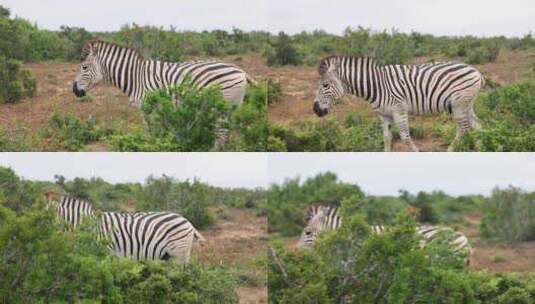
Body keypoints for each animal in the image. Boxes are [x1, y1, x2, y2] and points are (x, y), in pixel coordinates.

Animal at [72, 40, 256, 150]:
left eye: (84, 67)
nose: (74, 90)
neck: (136, 77)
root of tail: (241, 70)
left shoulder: (148, 107)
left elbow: (151, 132)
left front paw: (152, 146)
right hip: (231, 107)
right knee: (227, 134)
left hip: (223, 106)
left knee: (222, 134)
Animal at [314, 55, 486, 151]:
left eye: (325, 85)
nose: (316, 110)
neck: (377, 86)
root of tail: (475, 70)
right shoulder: (384, 115)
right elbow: (386, 138)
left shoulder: (399, 110)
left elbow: (405, 137)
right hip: (467, 104)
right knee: (477, 126)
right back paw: (481, 149)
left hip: (459, 104)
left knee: (464, 128)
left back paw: (451, 150)